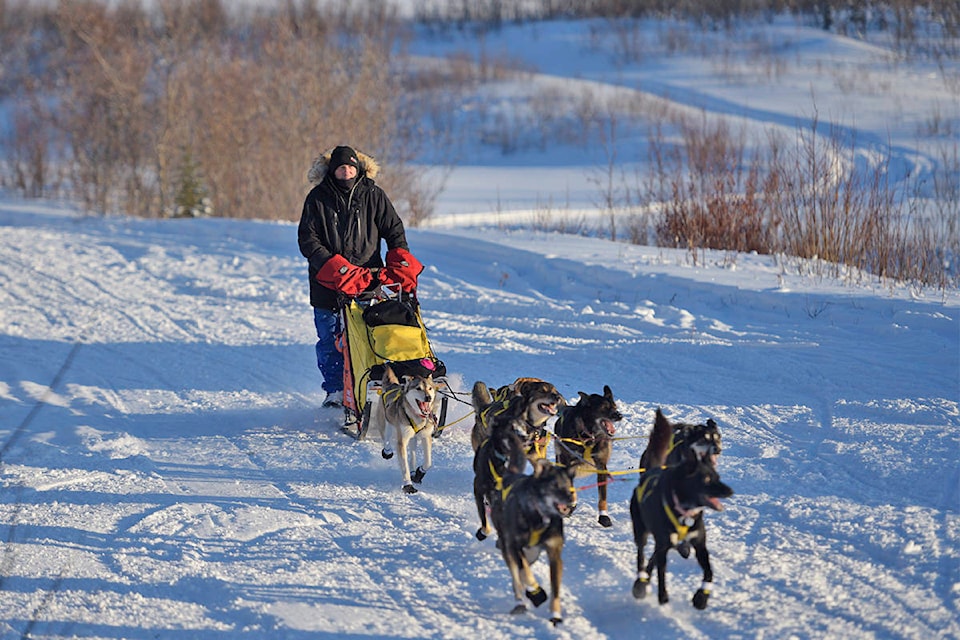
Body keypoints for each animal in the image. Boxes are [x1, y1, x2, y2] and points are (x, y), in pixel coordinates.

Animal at [370, 362, 440, 492]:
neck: (417, 416)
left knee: (412, 454)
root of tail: (392, 385)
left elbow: (428, 462)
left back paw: (413, 472)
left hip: (413, 437)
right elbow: (404, 466)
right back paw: (387, 452)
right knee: (386, 438)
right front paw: (408, 485)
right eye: (418, 388)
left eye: (430, 388)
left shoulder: (426, 436)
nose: (428, 397)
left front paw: (419, 473)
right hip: (386, 422)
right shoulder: (402, 441)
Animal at [496, 458, 576, 628]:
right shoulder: (514, 545)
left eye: (569, 486)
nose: (571, 500)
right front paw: (537, 593)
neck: (539, 514)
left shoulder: (554, 553)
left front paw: (555, 615)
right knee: (516, 574)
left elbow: (555, 588)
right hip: (508, 547)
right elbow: (525, 572)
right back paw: (520, 602)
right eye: (554, 485)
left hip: (532, 553)